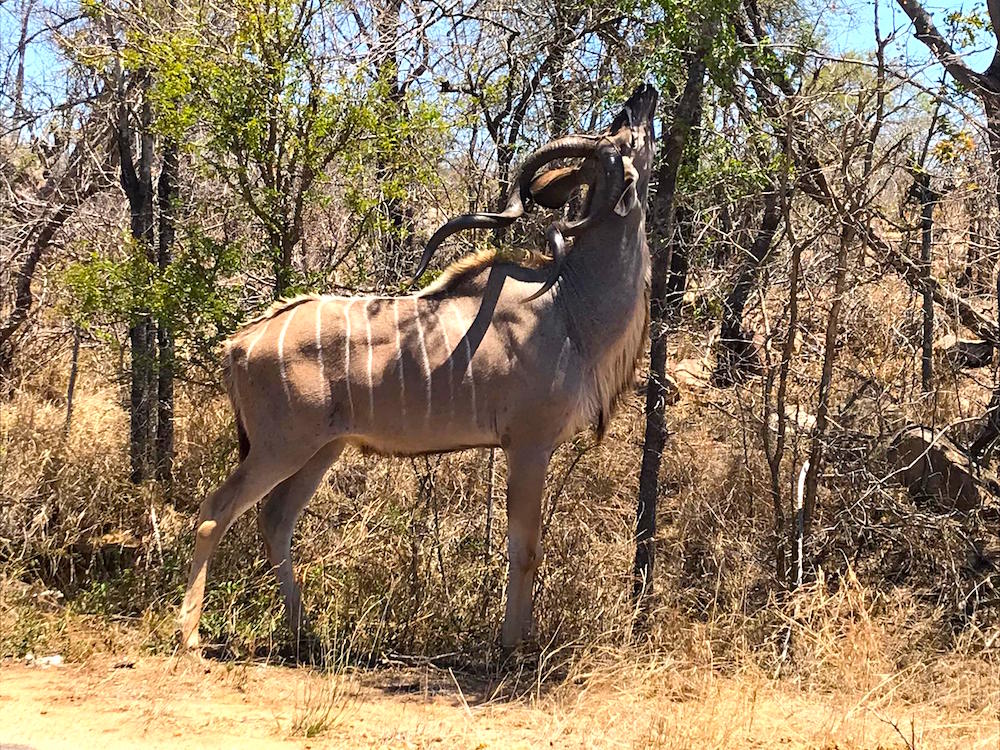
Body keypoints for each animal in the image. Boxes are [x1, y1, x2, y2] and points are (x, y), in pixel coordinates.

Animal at [181, 85, 660, 652]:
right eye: (626, 135)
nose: (644, 93)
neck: (568, 304)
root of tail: (239, 343)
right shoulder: (528, 443)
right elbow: (524, 549)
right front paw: (511, 646)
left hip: (322, 449)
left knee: (275, 519)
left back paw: (304, 632)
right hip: (282, 446)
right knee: (216, 511)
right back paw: (190, 633)